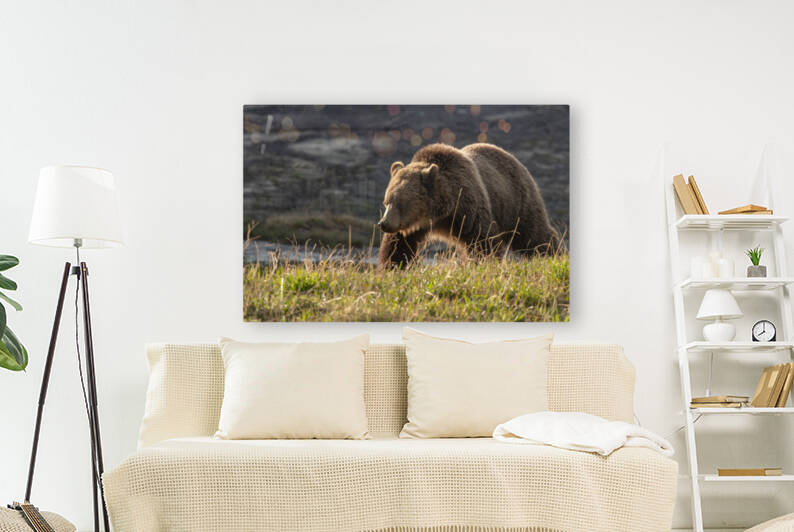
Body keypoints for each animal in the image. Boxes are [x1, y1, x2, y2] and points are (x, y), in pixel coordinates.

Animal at [377, 142, 560, 268]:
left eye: (401, 202)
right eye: (386, 201)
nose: (383, 224)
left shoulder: (467, 208)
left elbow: (483, 240)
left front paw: (483, 263)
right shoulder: (413, 227)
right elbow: (398, 246)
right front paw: (392, 266)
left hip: (516, 200)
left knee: (532, 233)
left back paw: (551, 253)